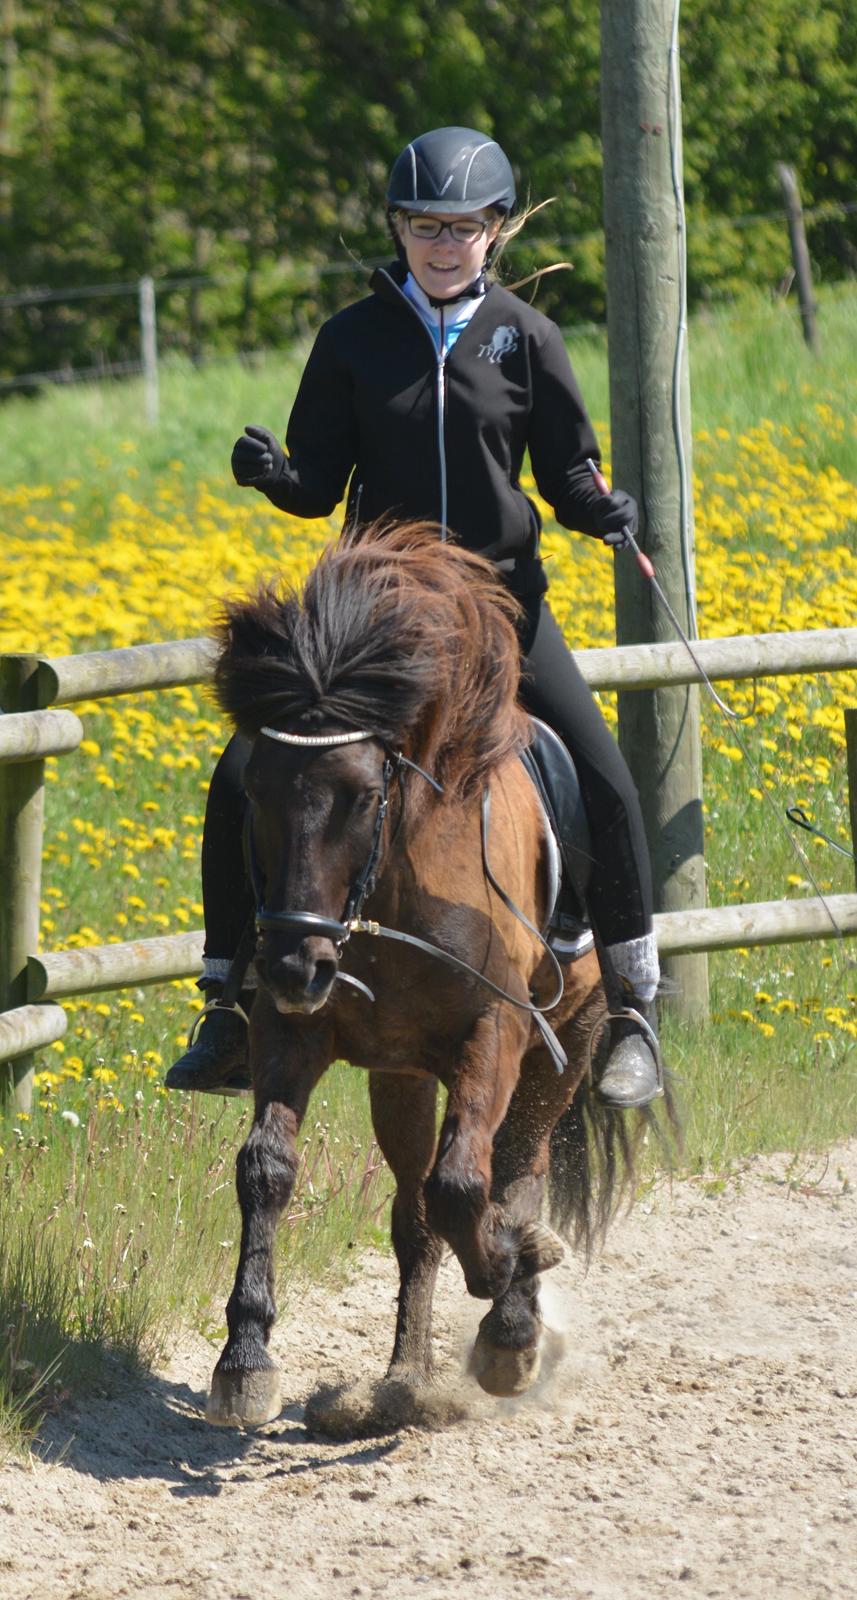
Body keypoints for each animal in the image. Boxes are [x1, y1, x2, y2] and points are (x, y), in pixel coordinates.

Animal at [202, 521, 636, 1427]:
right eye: (252, 792)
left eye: (364, 796)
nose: (293, 965)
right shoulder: (291, 1033)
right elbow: (266, 1168)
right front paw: (246, 1357)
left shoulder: (496, 1033)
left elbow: (467, 1185)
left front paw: (508, 1269)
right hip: (398, 1073)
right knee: (414, 1216)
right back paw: (403, 1378)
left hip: (567, 1044)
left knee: (514, 1171)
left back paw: (511, 1326)